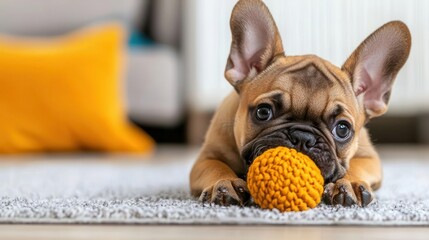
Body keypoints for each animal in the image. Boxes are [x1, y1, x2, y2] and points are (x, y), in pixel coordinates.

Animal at [189, 0, 410, 207]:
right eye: (263, 112)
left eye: (342, 129)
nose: (303, 137)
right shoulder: (206, 158)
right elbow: (217, 167)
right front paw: (225, 183)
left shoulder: (369, 159)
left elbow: (354, 167)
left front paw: (349, 183)